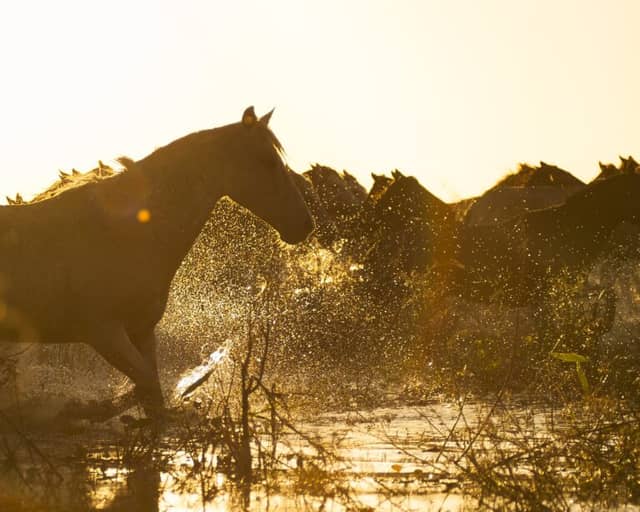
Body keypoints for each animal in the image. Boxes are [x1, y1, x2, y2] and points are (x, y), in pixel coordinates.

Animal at [0, 106, 314, 416]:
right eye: (267, 161)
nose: (305, 225)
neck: (127, 233)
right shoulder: (104, 333)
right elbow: (145, 385)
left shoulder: (141, 332)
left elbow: (154, 397)